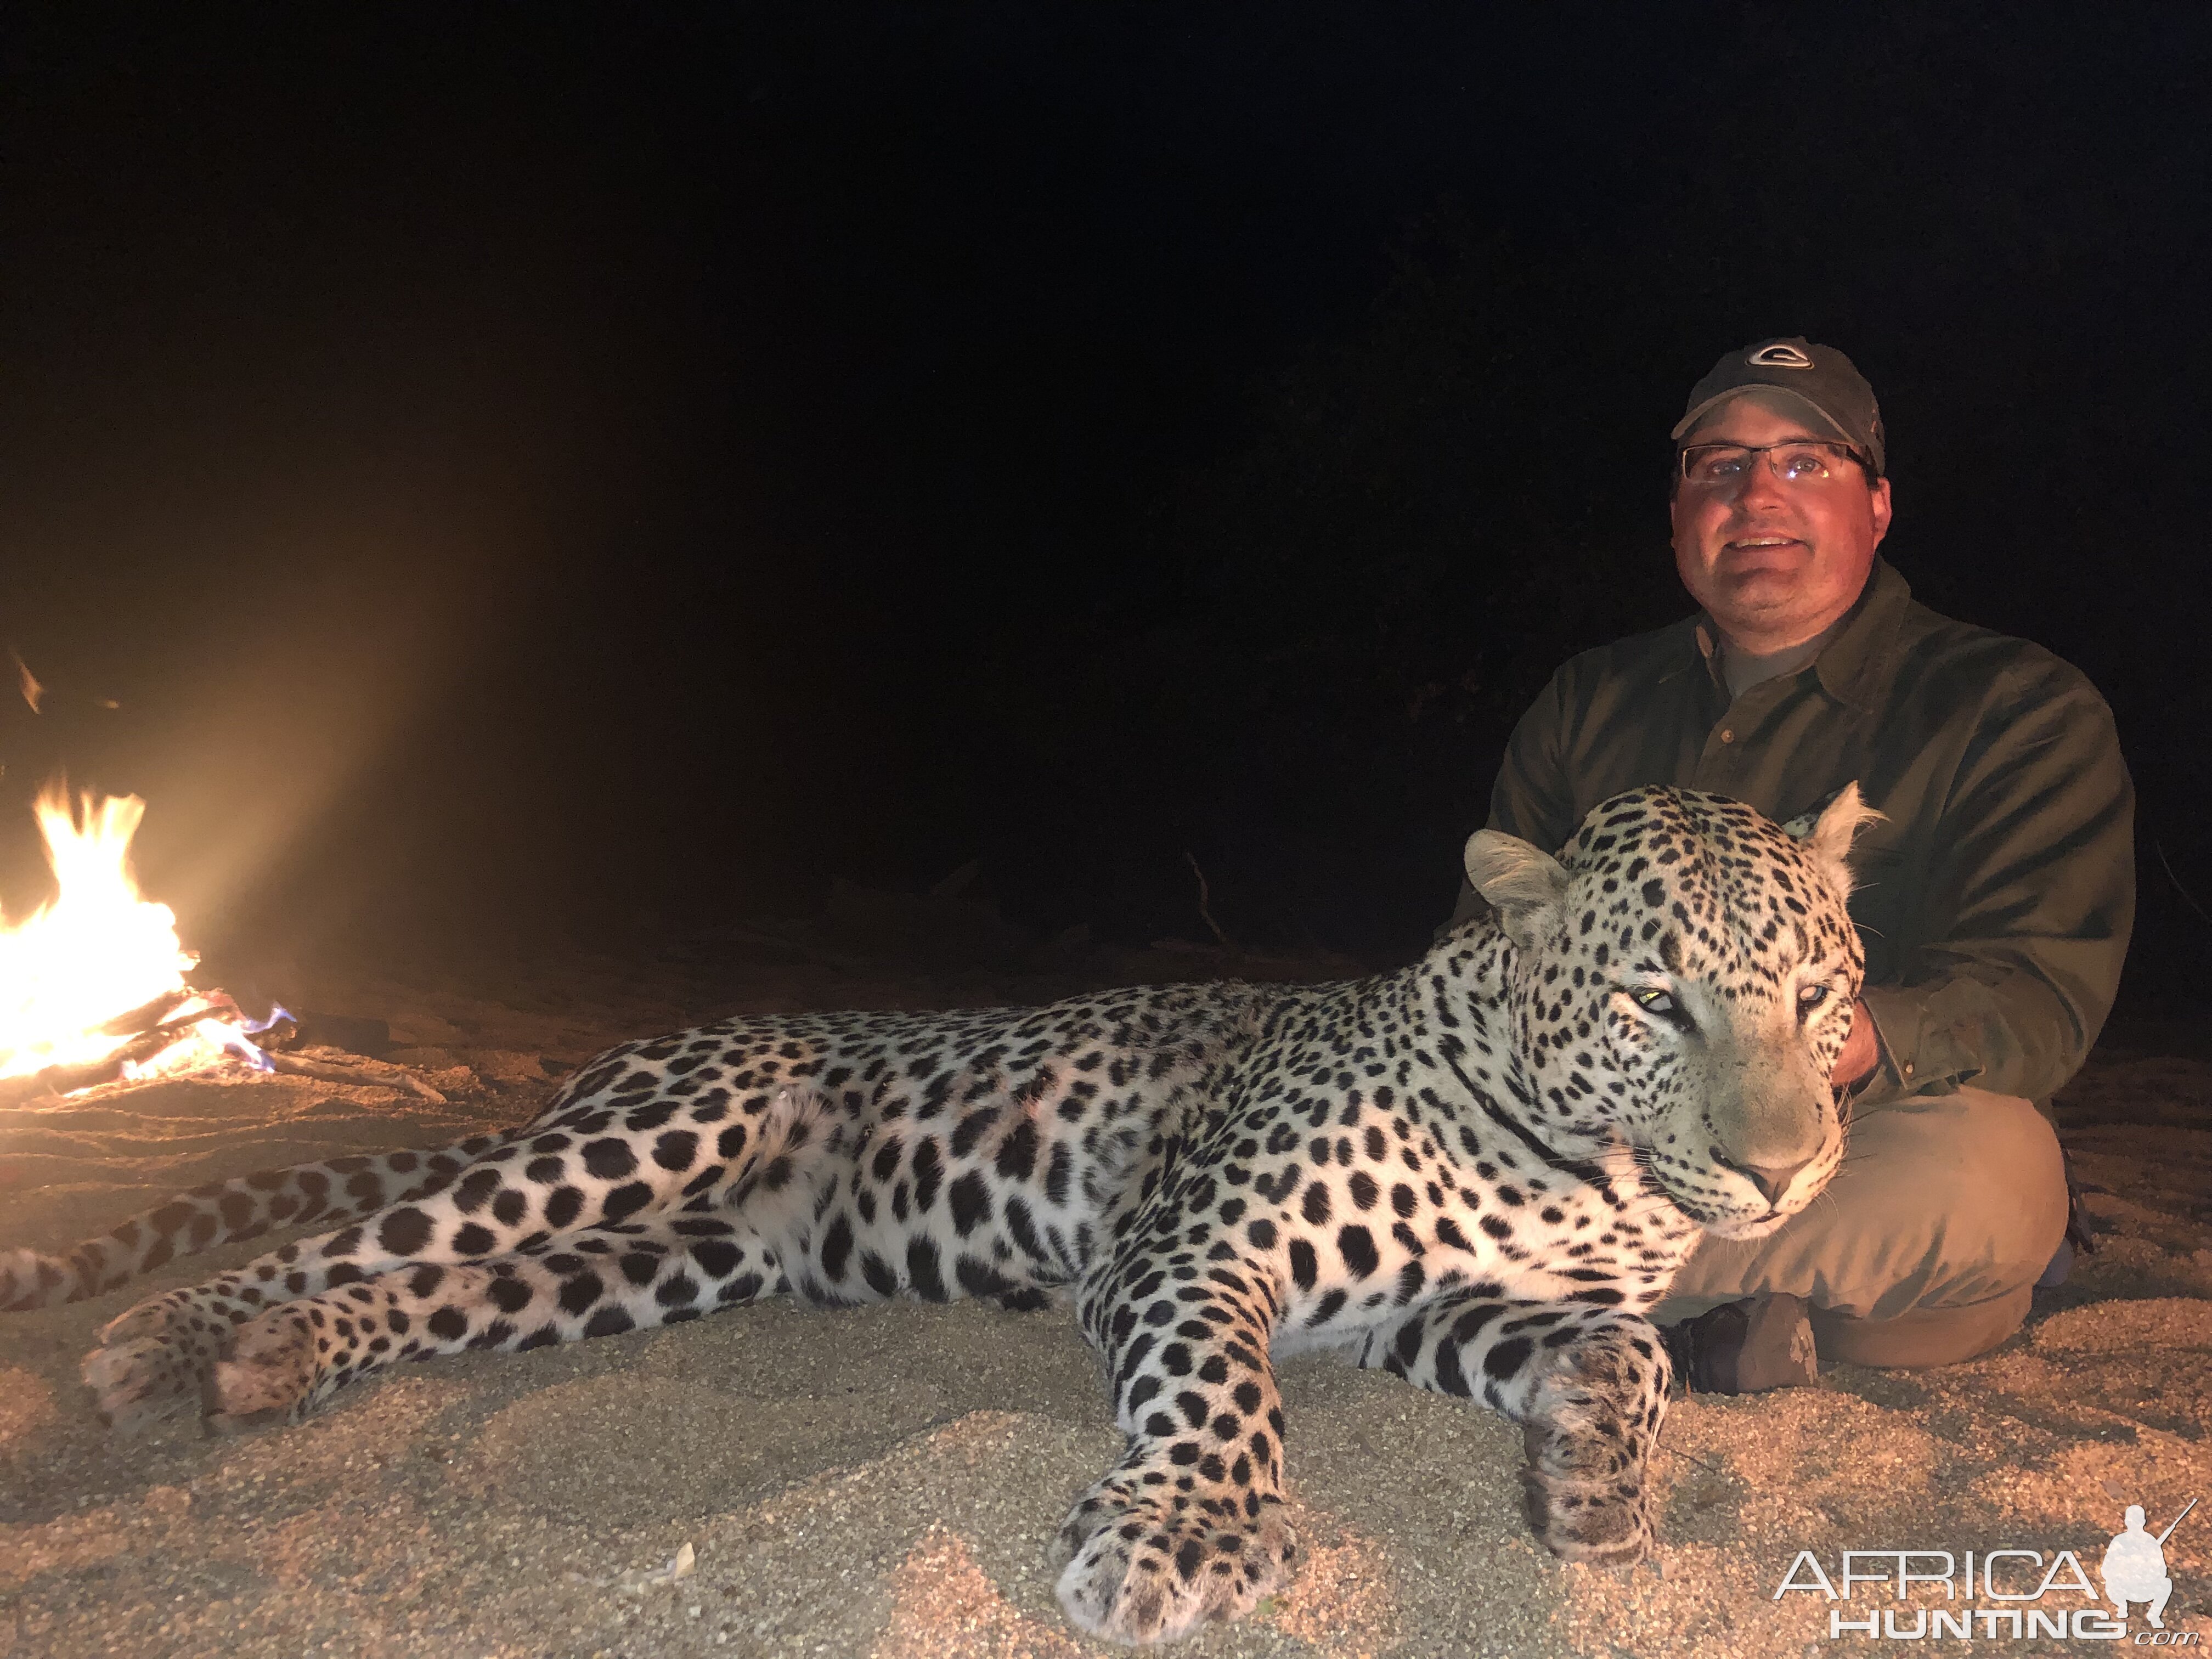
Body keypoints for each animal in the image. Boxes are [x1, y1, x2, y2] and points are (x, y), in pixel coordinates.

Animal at [0, 787, 1876, 1654]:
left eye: (1820, 994)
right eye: (1655, 1002)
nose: (1789, 1176)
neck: (1577, 1161)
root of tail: (614, 1056)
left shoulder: (1429, 1309)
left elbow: (1632, 1355)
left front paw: (1593, 1488)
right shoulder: (1194, 1241)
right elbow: (1222, 1391)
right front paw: (1191, 1534)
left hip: (660, 1262)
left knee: (430, 1290)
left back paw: (277, 1360)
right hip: (649, 1135)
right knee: (363, 1236)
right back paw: (165, 1339)